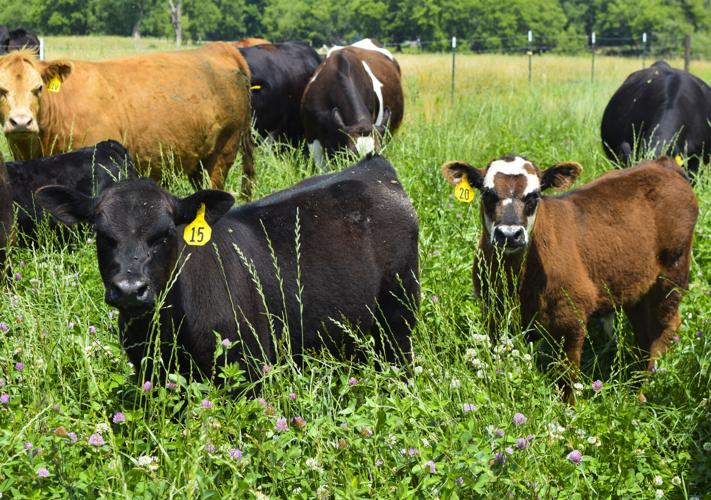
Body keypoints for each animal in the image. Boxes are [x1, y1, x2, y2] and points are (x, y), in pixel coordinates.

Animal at [37, 155, 420, 386]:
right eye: (102, 234)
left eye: (165, 233)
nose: (130, 289)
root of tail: (373, 166)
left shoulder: (247, 369)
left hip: (399, 317)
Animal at [440, 155, 698, 400]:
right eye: (487, 193)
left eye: (534, 196)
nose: (510, 234)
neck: (519, 279)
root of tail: (662, 164)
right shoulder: (492, 312)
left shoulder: (571, 317)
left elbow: (566, 375)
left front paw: (568, 410)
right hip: (636, 289)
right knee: (644, 333)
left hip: (672, 275)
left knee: (665, 327)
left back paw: (643, 385)